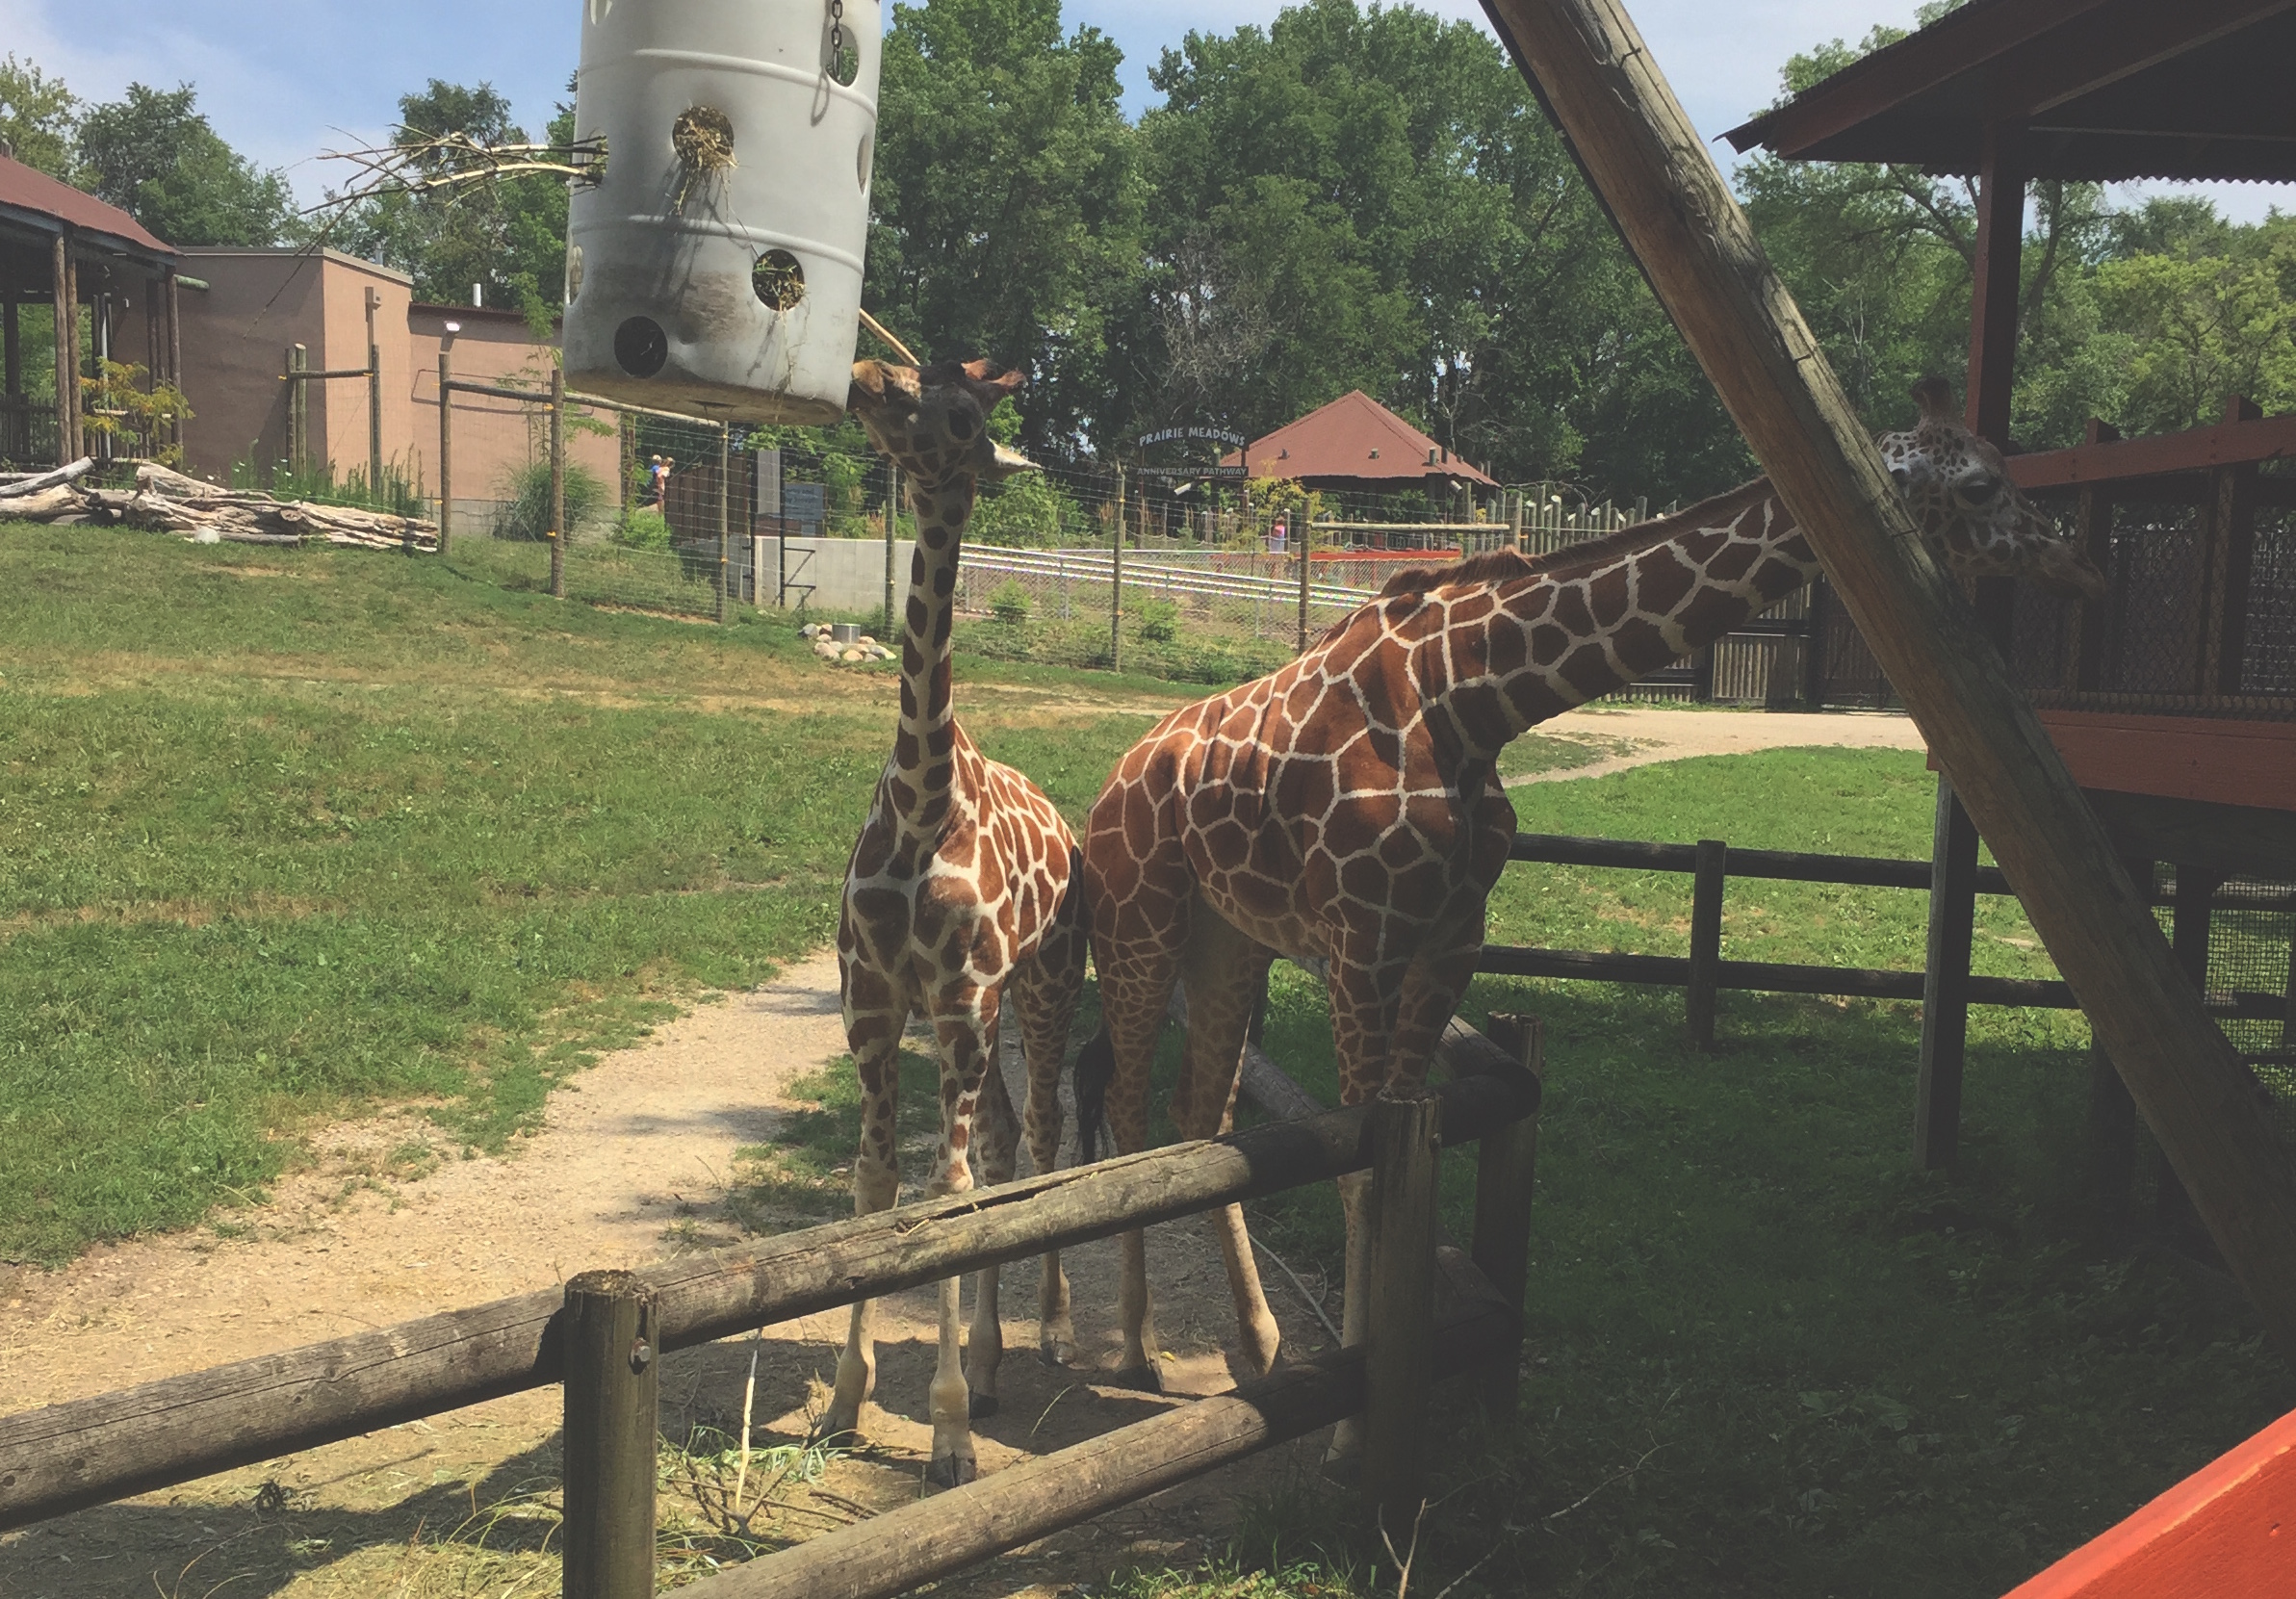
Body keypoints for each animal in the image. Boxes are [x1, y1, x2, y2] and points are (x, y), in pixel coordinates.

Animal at [1071, 379, 2106, 1422]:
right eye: (1978, 484)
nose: (2077, 561)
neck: (1473, 696)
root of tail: (1114, 780)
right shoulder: (1365, 942)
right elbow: (1362, 1177)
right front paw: (1348, 1429)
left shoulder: (1449, 939)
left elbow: (1404, 1169)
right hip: (1139, 925)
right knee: (1125, 1106)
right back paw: (1141, 1348)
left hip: (1229, 935)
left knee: (1198, 1115)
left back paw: (1261, 1342)